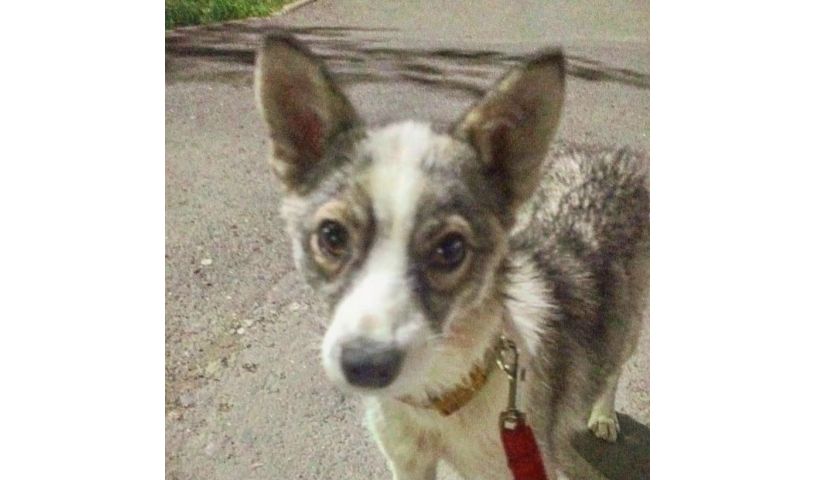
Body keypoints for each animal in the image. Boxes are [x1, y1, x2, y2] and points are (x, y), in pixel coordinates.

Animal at [254, 31, 648, 480]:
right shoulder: (407, 461)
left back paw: (603, 415)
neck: (439, 399)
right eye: (332, 235)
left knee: (613, 366)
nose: (366, 366)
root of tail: (600, 153)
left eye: (450, 248)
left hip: (630, 321)